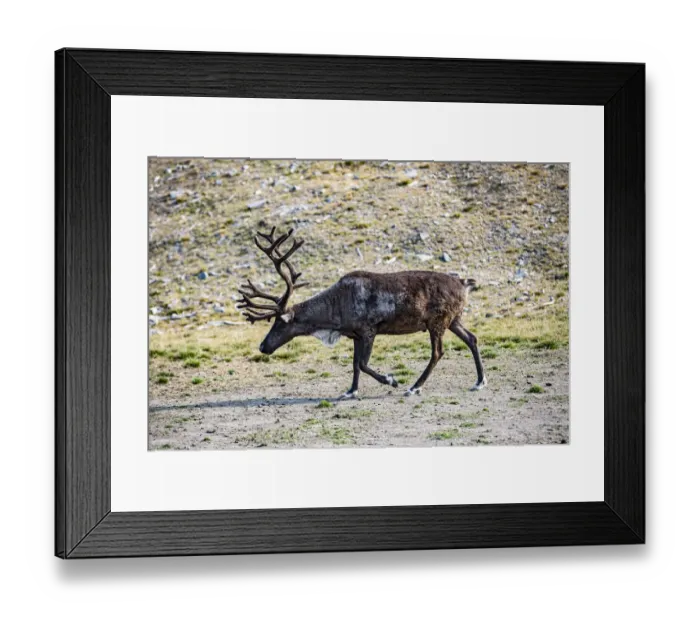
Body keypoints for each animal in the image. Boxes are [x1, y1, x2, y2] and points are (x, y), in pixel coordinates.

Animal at [236, 227, 487, 399]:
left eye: (279, 323)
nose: (262, 346)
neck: (334, 313)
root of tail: (464, 283)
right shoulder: (355, 335)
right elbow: (355, 364)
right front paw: (351, 391)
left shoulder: (369, 330)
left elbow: (364, 365)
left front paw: (390, 380)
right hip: (454, 320)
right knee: (472, 339)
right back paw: (479, 381)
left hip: (437, 322)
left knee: (437, 352)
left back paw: (414, 387)